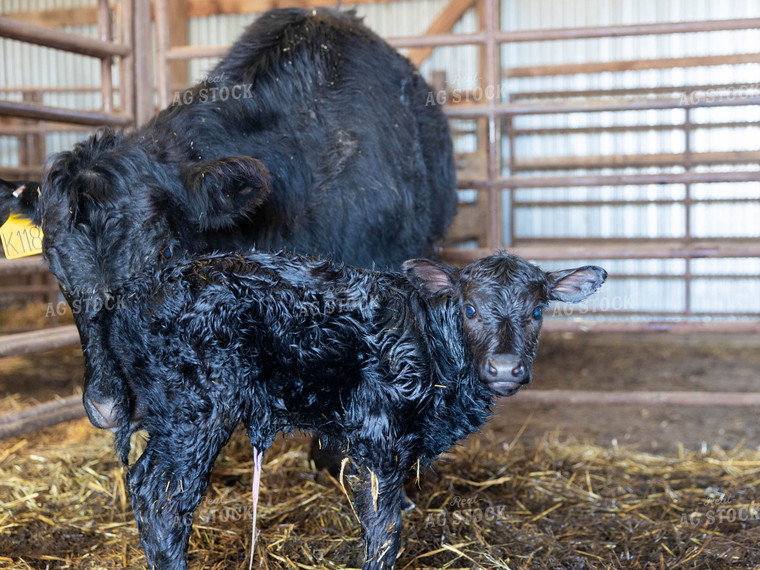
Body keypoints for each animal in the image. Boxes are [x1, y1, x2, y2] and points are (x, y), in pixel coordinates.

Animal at [89, 251, 608, 564]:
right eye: (470, 309)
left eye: (537, 311)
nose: (503, 367)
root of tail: (134, 292)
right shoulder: (378, 439)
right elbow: (384, 526)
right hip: (195, 412)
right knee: (161, 497)